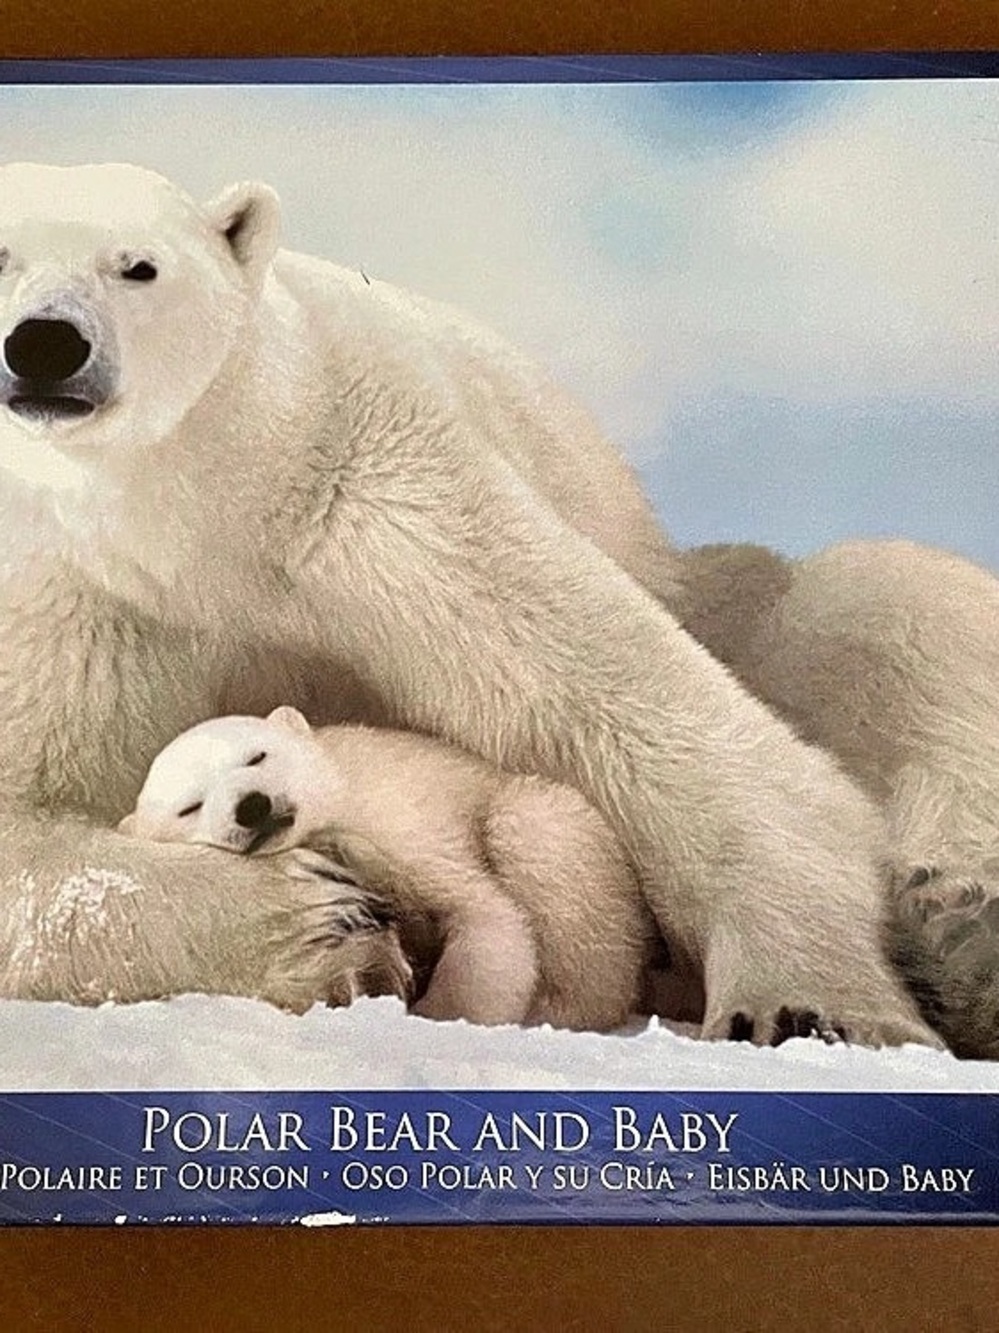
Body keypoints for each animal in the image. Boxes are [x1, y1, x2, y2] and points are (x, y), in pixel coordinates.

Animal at [119, 706, 658, 1031]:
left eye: (257, 755)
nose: (252, 806)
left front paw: (442, 1013)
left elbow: (486, 915)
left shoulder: (400, 824)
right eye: (190, 806)